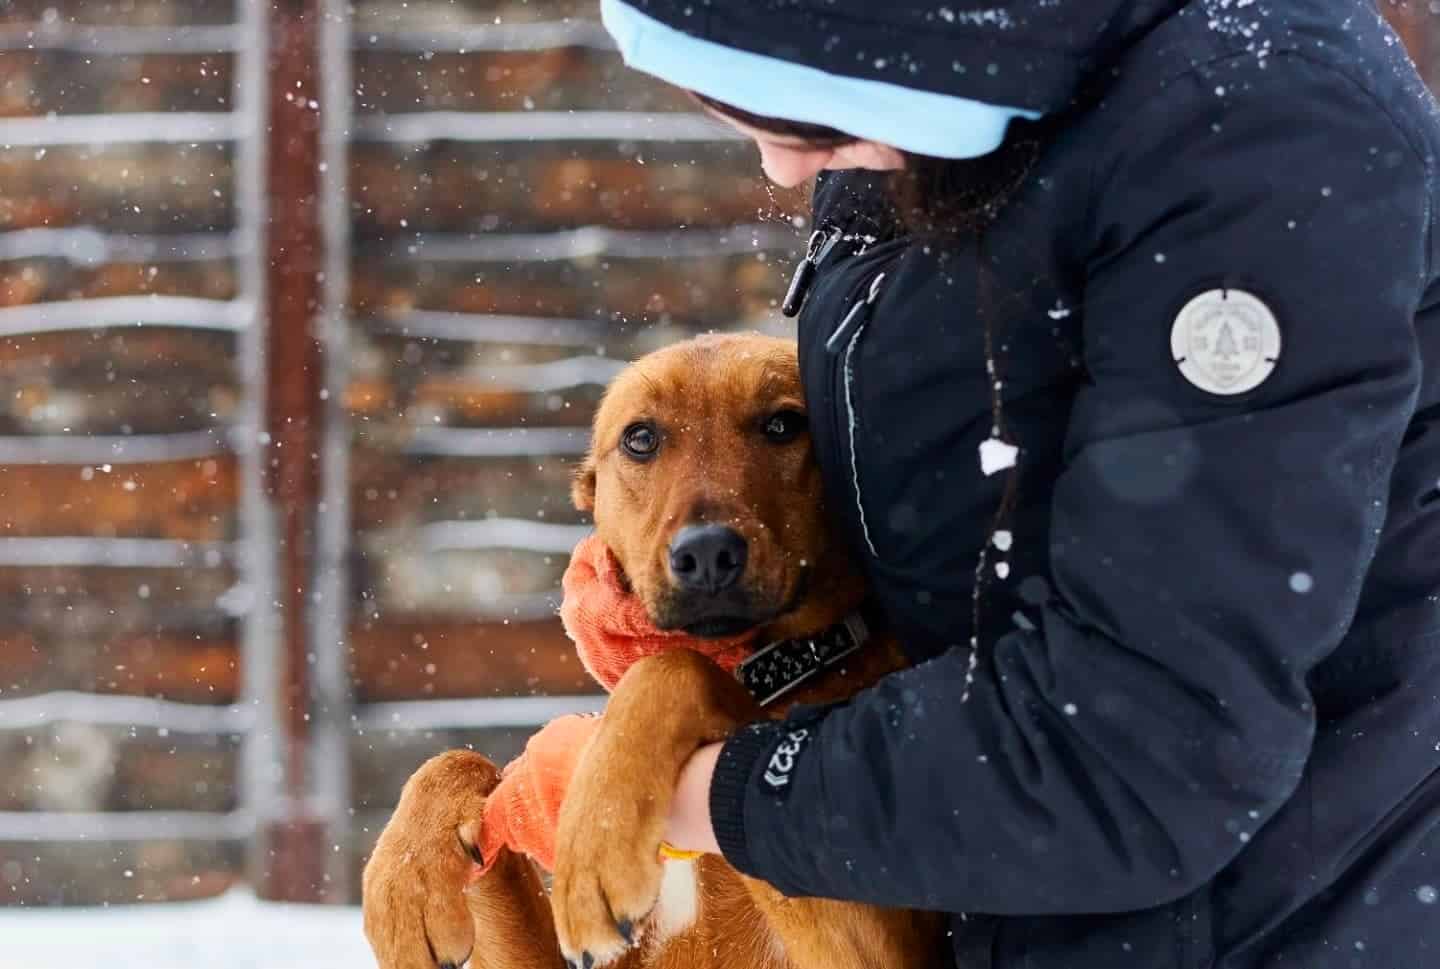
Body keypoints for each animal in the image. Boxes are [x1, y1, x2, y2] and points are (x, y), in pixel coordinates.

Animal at [362, 334, 944, 967]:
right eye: (640, 438)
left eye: (785, 425)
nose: (707, 553)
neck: (769, 668)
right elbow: (453, 759)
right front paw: (406, 879)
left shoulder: (871, 947)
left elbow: (674, 665)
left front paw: (599, 839)